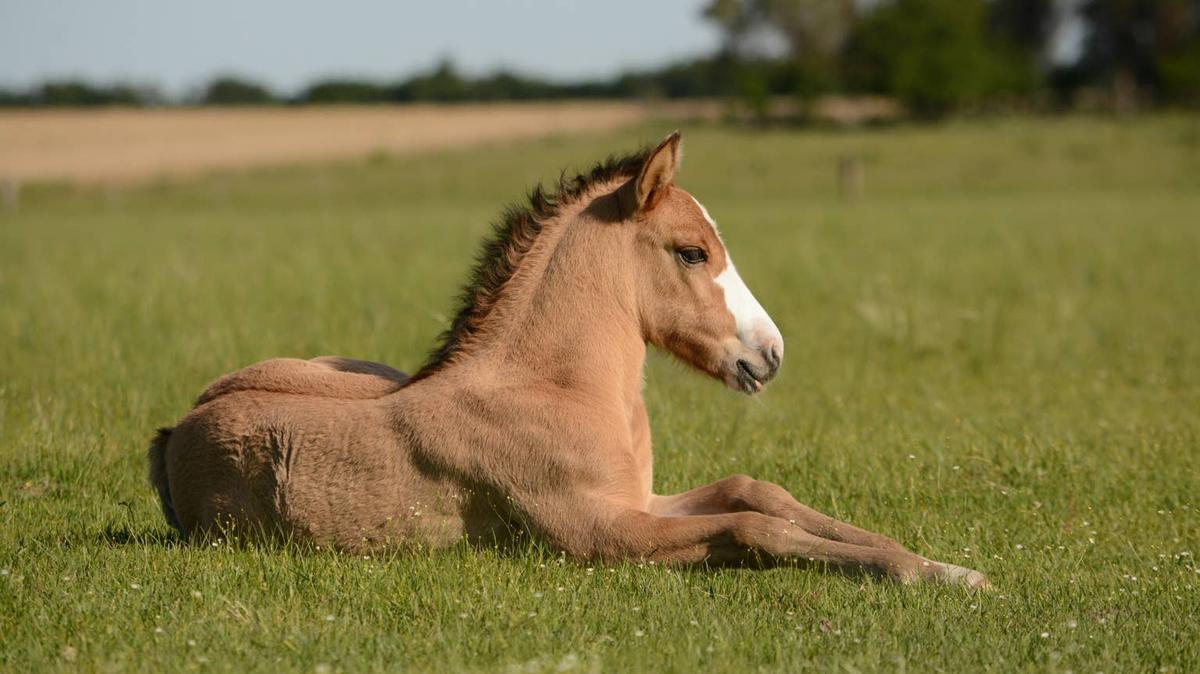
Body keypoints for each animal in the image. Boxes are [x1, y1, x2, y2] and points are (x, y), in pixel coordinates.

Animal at [149, 132, 989, 588]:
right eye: (692, 251)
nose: (770, 353)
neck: (554, 389)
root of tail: (175, 429)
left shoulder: (641, 501)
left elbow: (760, 493)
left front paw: (944, 565)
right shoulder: (601, 533)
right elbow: (757, 529)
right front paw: (923, 573)